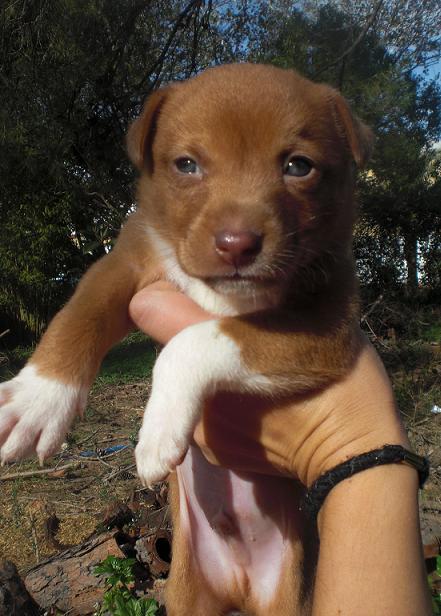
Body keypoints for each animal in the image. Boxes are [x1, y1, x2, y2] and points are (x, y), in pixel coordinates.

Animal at [0, 63, 372, 616]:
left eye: (298, 166)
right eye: (187, 165)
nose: (237, 244)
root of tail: (238, 583)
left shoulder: (327, 324)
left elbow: (196, 340)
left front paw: (156, 433)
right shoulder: (124, 262)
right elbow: (78, 315)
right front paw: (38, 398)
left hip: (289, 595)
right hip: (184, 590)